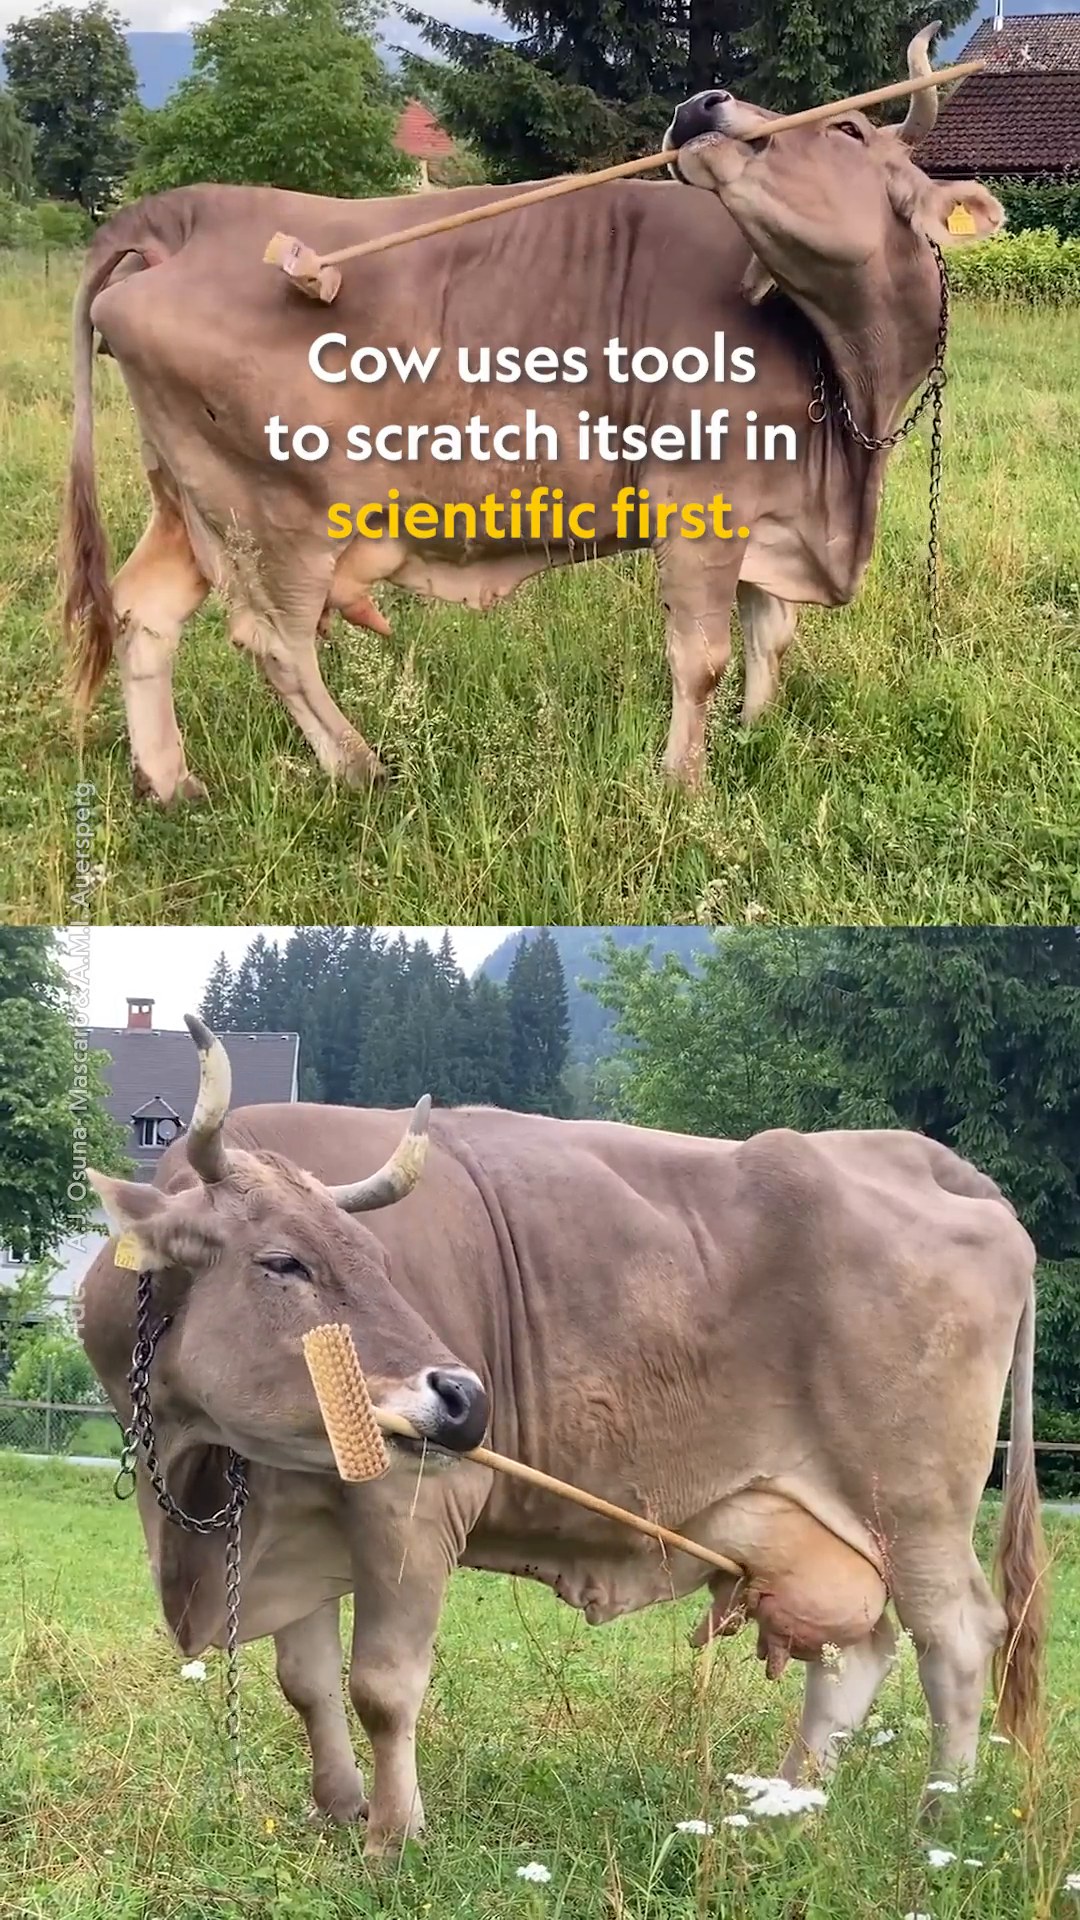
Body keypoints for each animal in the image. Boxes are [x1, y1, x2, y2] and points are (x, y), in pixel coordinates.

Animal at [60, 27, 1003, 804]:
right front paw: (685, 786)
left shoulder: (776, 512)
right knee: (274, 643)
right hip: (275, 514)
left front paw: (754, 737)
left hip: (190, 499)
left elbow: (770, 636)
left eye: (848, 132)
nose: (701, 104)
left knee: (143, 612)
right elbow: (701, 656)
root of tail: (187, 211)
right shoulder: (702, 500)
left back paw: (172, 783)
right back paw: (362, 770)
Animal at [78, 1014, 1045, 1858]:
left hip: (915, 1508)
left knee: (958, 1641)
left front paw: (393, 1838)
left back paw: (939, 1824)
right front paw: (337, 1813)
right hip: (818, 1529)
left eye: (382, 1260)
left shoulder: (411, 1503)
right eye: (283, 1261)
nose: (466, 1398)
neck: (200, 1472)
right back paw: (785, 1808)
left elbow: (382, 1687)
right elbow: (306, 1681)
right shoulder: (292, 1515)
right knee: (857, 1653)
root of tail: (929, 1159)